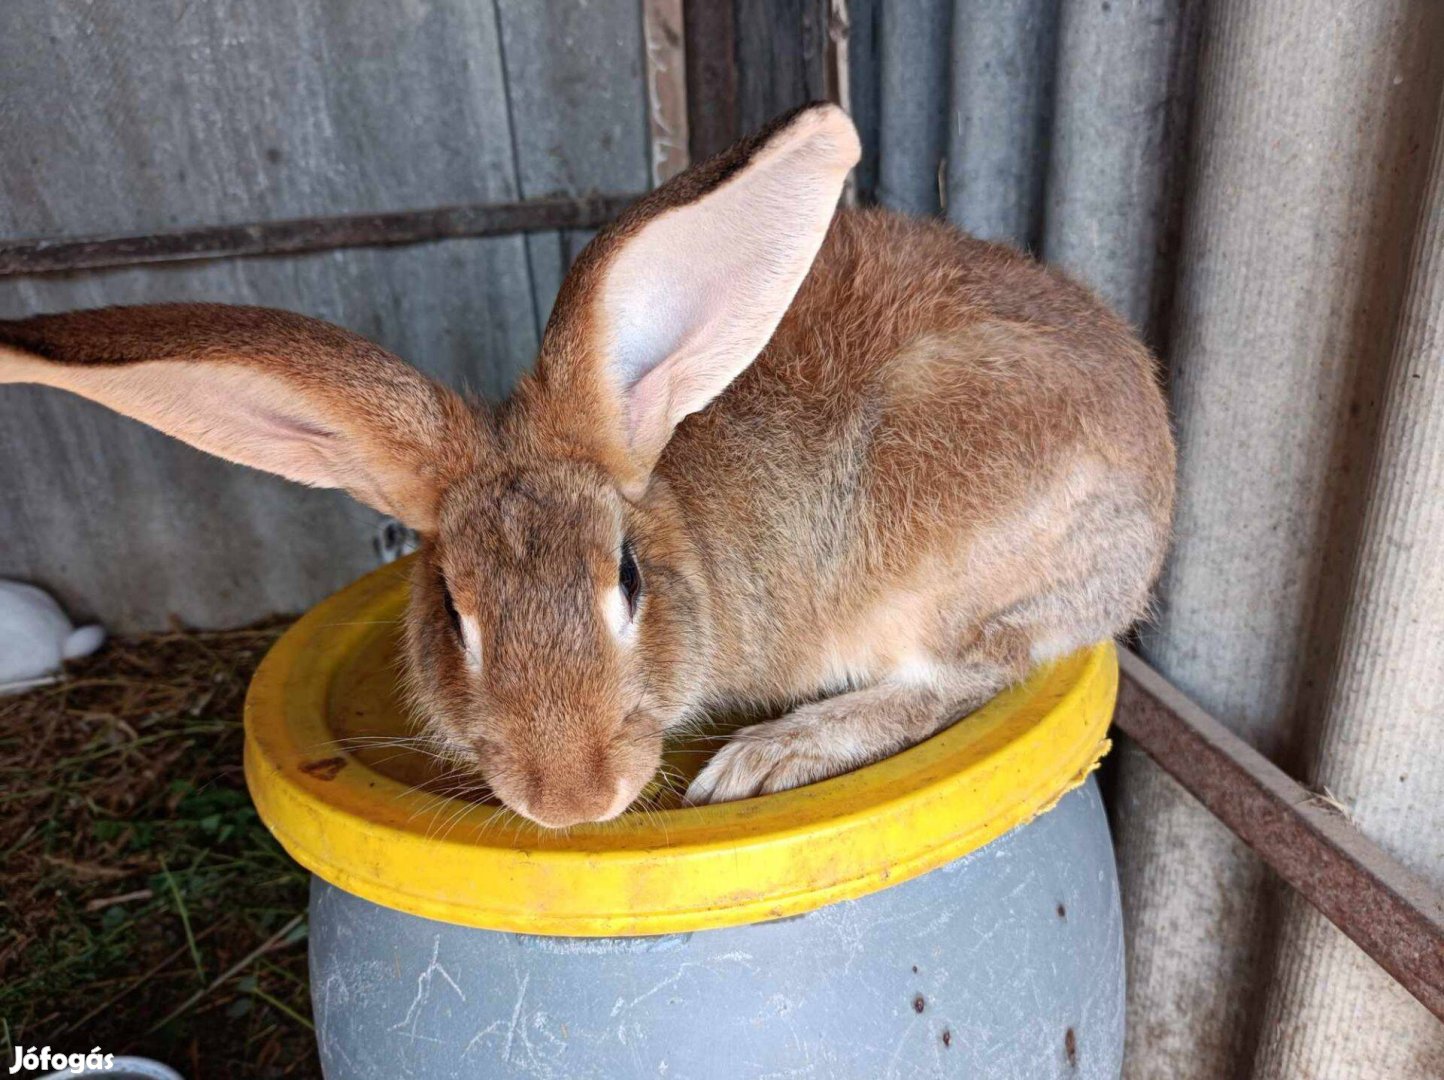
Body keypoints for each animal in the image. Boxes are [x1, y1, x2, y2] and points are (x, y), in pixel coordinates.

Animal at [0, 105, 1172, 825]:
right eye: (452, 611)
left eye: (628, 581)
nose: (572, 800)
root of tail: (1155, 496)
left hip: (945, 555)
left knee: (962, 677)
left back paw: (770, 755)